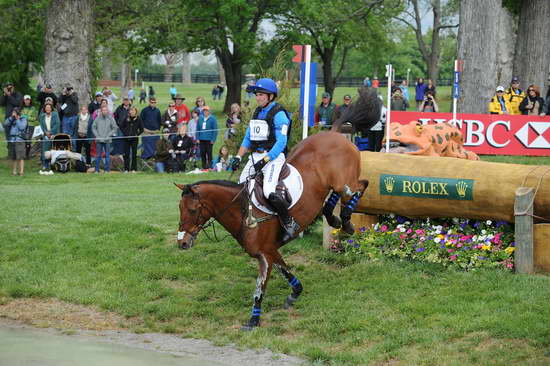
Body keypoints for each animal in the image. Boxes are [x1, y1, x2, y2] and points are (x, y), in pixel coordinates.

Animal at [175, 87, 382, 330]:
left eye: (192, 210)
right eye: (180, 209)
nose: (182, 243)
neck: (242, 210)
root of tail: (335, 133)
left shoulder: (265, 254)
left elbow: (259, 289)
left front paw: (253, 320)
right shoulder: (271, 250)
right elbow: (287, 272)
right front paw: (294, 294)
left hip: (345, 182)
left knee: (361, 186)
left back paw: (347, 221)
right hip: (333, 184)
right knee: (334, 197)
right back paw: (334, 219)